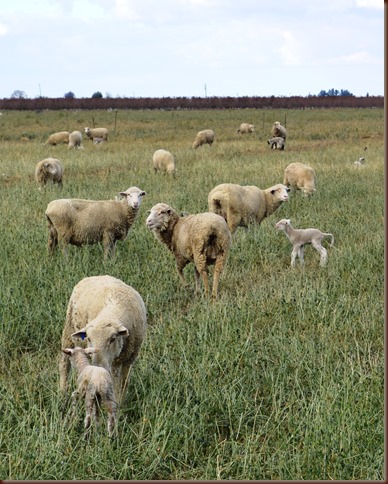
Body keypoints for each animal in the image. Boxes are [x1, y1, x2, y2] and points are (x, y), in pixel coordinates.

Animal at [60, 276, 147, 404]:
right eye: (89, 339)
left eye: (113, 339)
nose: (98, 365)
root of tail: (95, 276)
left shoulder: (128, 360)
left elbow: (122, 384)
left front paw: (120, 404)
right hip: (68, 328)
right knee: (64, 364)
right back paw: (62, 393)